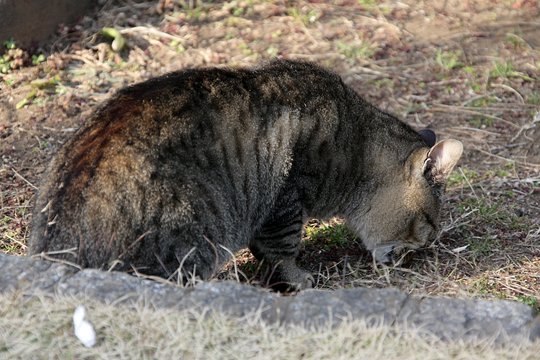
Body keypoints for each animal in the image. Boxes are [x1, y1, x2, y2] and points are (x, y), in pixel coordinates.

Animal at [28, 59, 460, 290]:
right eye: (428, 224)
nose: (419, 252)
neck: (356, 144)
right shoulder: (285, 199)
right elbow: (282, 251)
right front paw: (299, 278)